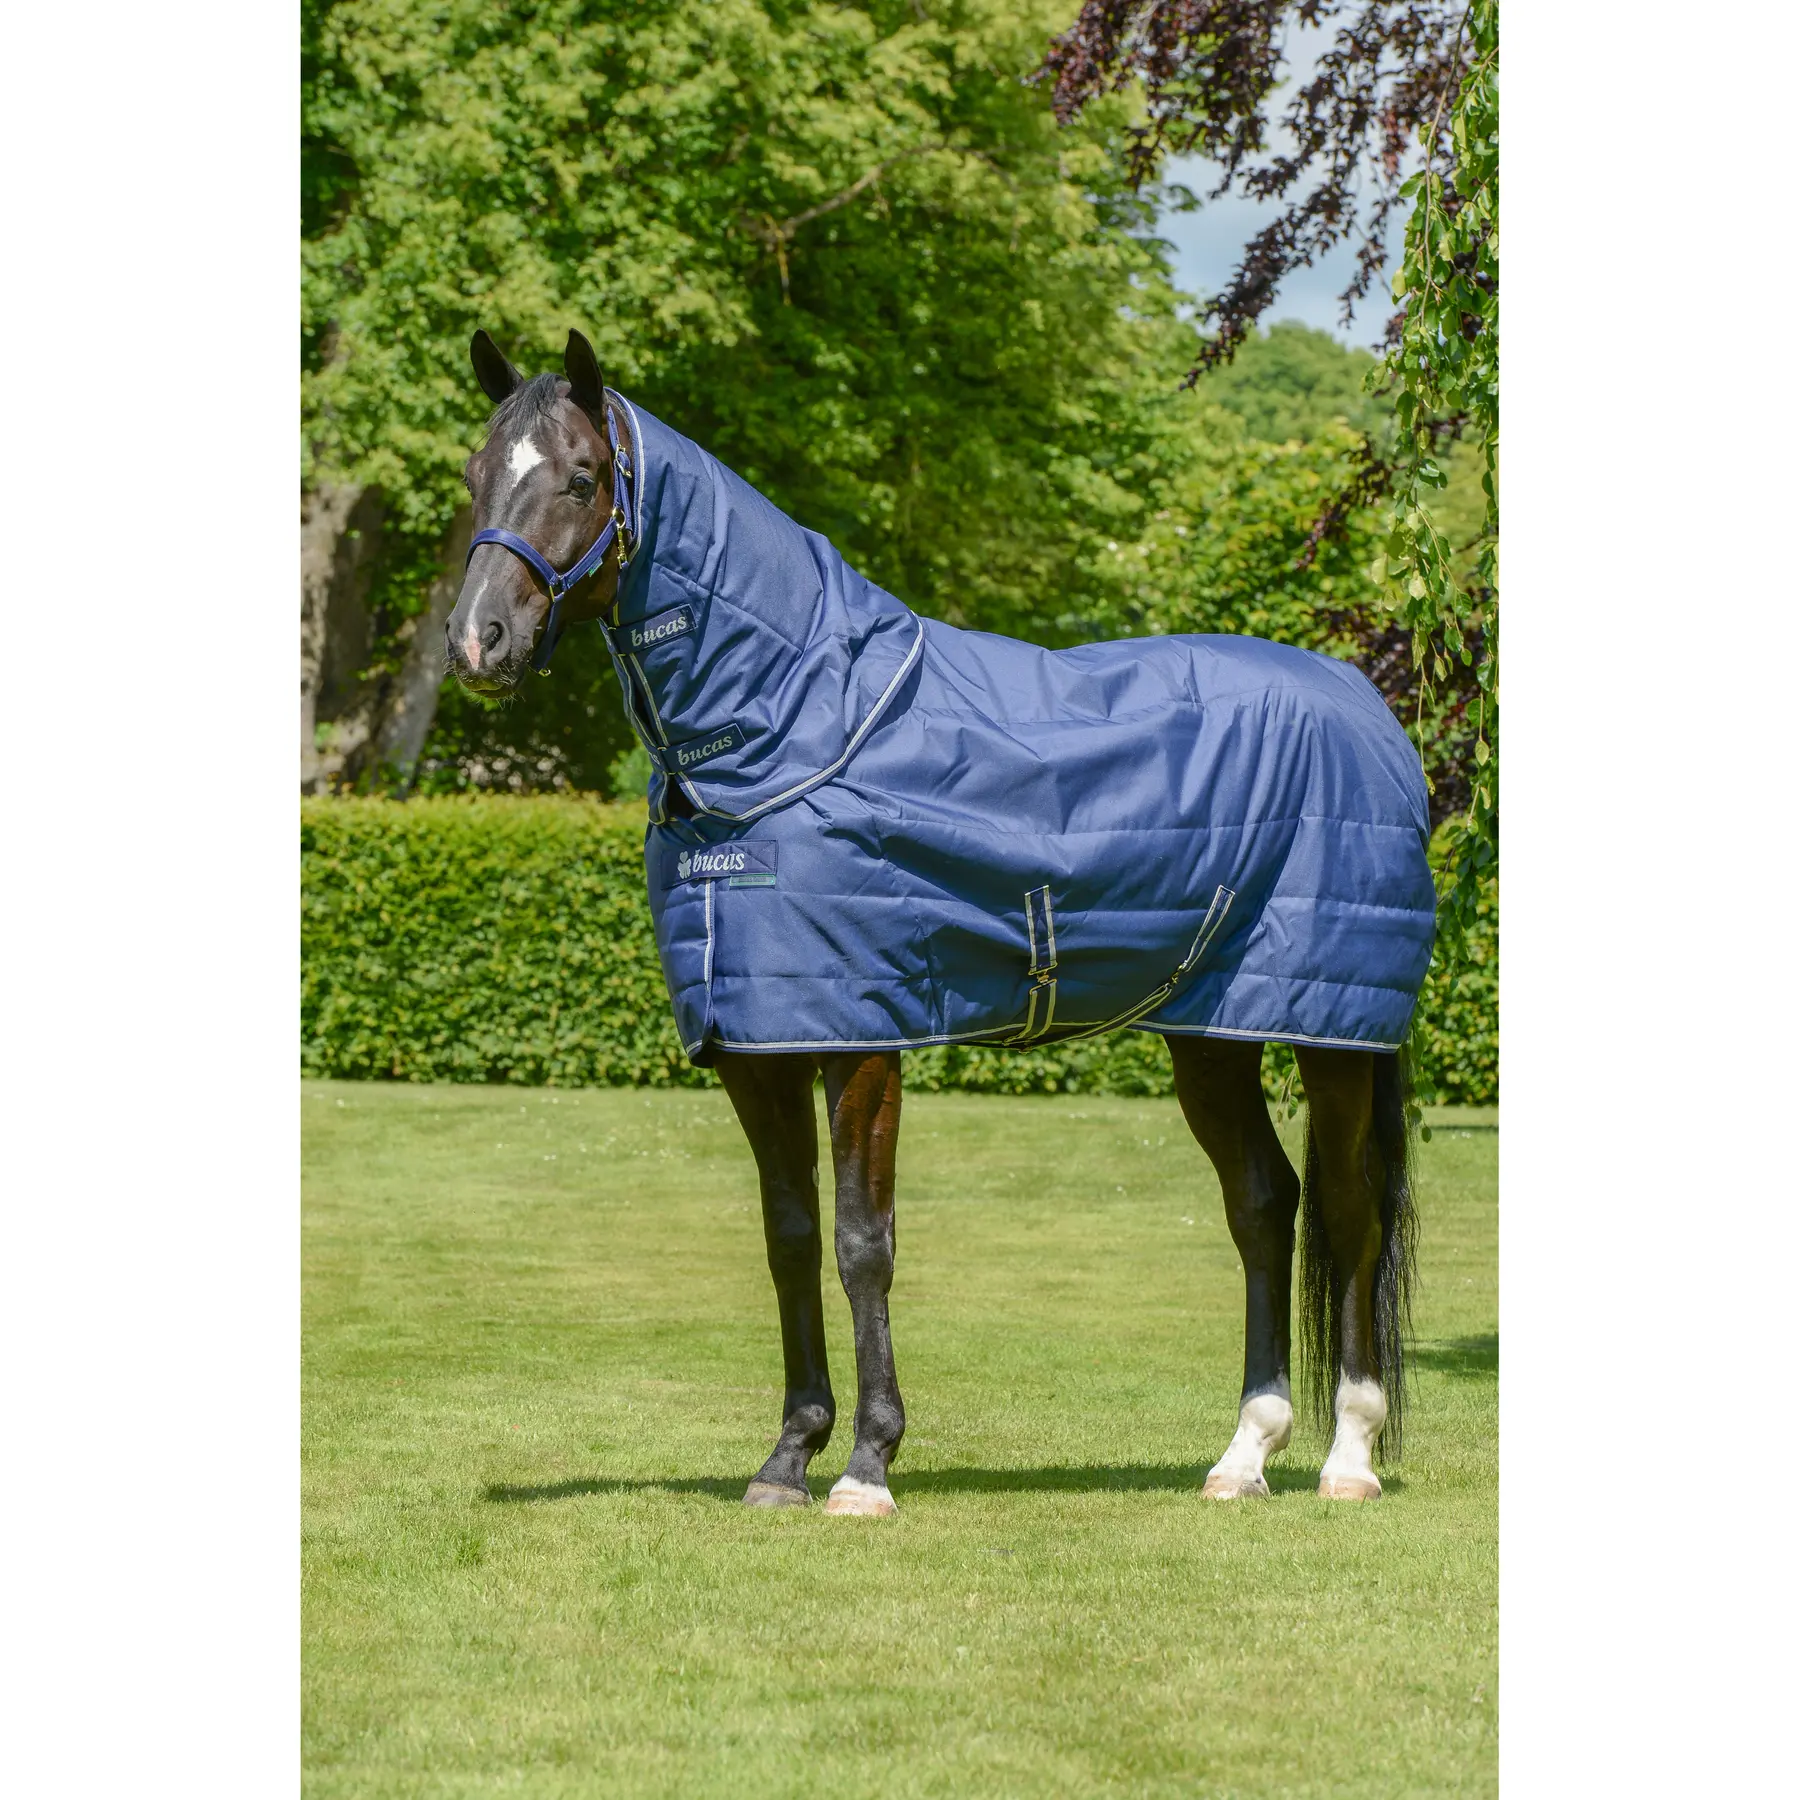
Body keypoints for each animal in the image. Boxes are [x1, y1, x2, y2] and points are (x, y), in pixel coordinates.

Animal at [446, 327, 1433, 1513]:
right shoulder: (759, 1043)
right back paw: (1244, 1453)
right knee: (1263, 1204)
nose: (479, 641)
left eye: (583, 477)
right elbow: (789, 1236)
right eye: (476, 475)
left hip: (1331, 1035)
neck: (796, 726)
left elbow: (862, 1241)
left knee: (1350, 1207)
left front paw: (868, 1465)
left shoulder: (864, 1039)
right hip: (1211, 1030)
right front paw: (788, 1458)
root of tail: (1367, 710)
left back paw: (1349, 1458)